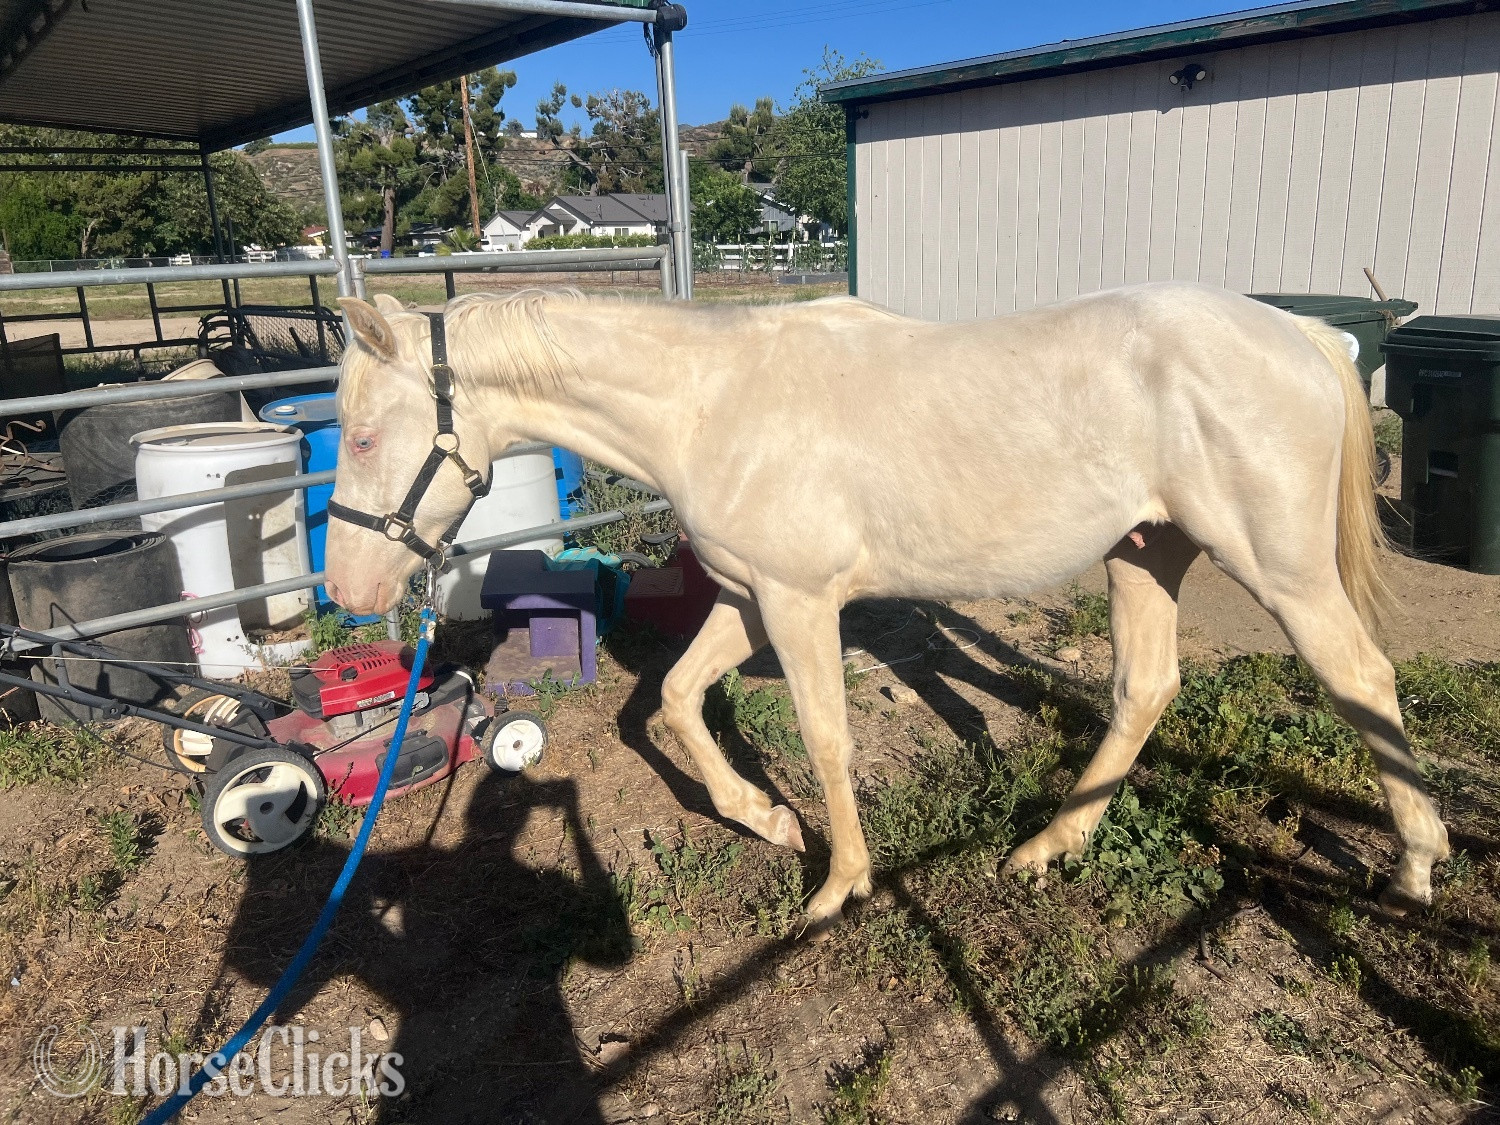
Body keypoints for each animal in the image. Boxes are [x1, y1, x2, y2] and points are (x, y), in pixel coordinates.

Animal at [323, 283, 1450, 932]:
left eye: (366, 438)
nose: (345, 590)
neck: (710, 403)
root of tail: (1304, 333)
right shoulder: (749, 596)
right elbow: (678, 702)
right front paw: (769, 820)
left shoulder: (797, 603)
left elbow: (828, 736)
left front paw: (838, 886)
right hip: (1145, 552)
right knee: (1145, 689)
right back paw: (1050, 847)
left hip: (1280, 569)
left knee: (1361, 678)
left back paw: (1416, 866)